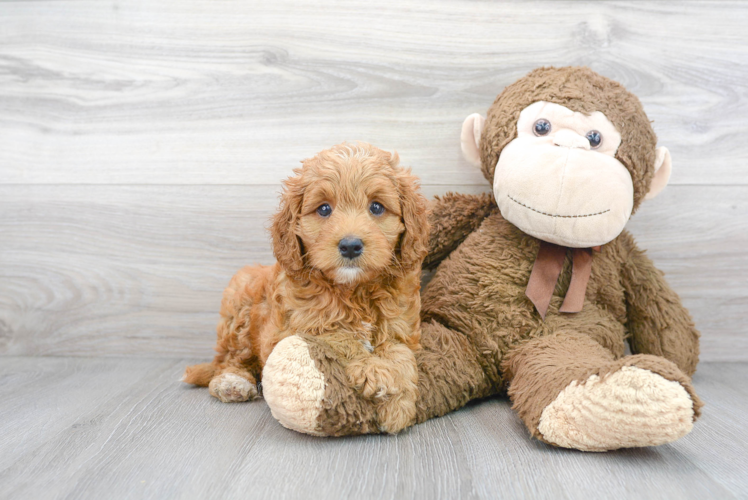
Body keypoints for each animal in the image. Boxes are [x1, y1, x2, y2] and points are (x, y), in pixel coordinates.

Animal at [184, 142, 430, 434]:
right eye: (323, 209)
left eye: (377, 207)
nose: (350, 246)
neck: (353, 290)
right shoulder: (296, 327)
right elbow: (338, 336)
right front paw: (375, 371)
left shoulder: (402, 326)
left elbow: (400, 353)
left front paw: (398, 404)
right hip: (239, 297)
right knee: (230, 358)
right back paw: (232, 382)